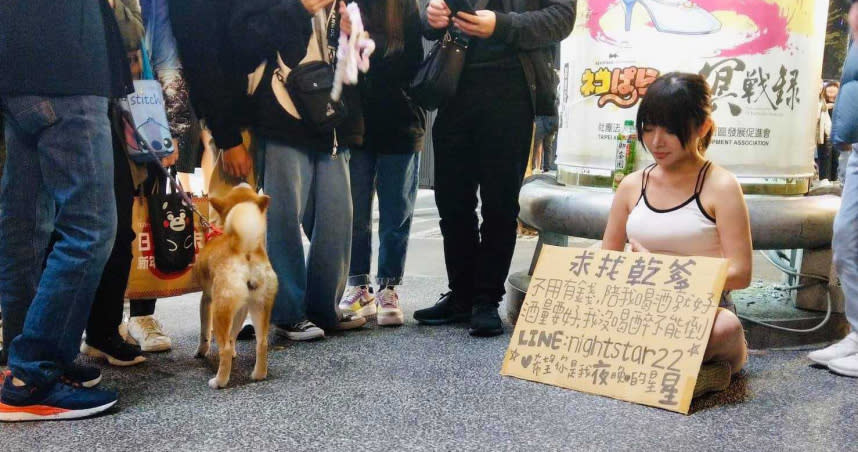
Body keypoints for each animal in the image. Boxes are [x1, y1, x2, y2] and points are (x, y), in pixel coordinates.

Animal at [192, 184, 276, 388]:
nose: (244, 183)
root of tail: (245, 248)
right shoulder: (242, 308)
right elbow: (233, 335)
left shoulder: (206, 299)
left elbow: (204, 332)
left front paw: (201, 351)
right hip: (260, 306)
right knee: (261, 343)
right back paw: (258, 374)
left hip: (220, 309)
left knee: (225, 348)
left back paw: (219, 381)